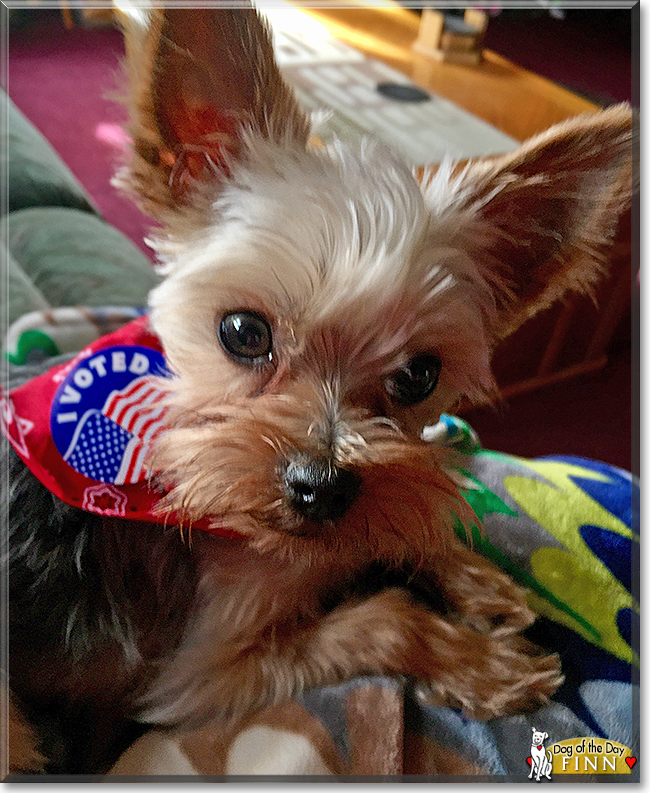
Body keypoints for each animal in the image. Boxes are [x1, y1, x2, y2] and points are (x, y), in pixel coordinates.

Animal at [6, 3, 632, 776]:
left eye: (419, 375)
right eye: (243, 332)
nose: (321, 488)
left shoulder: (351, 513)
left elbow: (390, 524)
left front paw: (473, 577)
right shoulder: (198, 676)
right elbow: (387, 618)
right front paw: (485, 662)